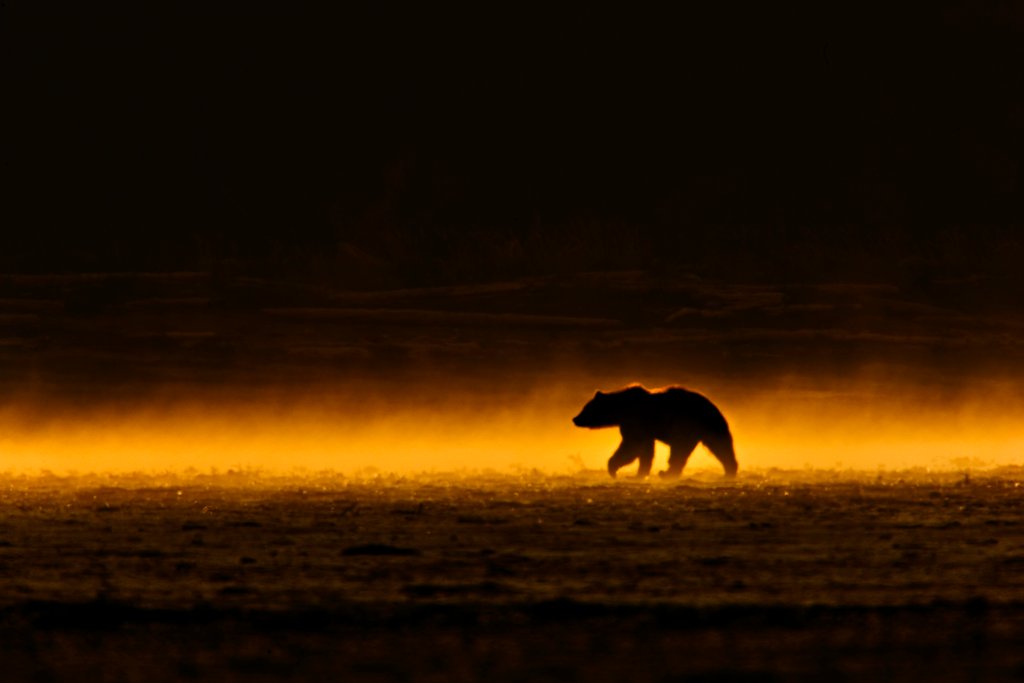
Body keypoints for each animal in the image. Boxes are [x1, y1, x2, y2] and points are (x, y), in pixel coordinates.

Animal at [572, 385, 738, 479]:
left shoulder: (636, 422)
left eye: (586, 408)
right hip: (708, 429)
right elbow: (645, 451)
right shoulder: (643, 430)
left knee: (679, 451)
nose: (575, 419)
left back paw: (666, 473)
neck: (621, 410)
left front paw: (613, 468)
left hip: (687, 426)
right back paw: (730, 470)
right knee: (720, 447)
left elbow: (631, 446)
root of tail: (714, 407)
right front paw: (639, 473)